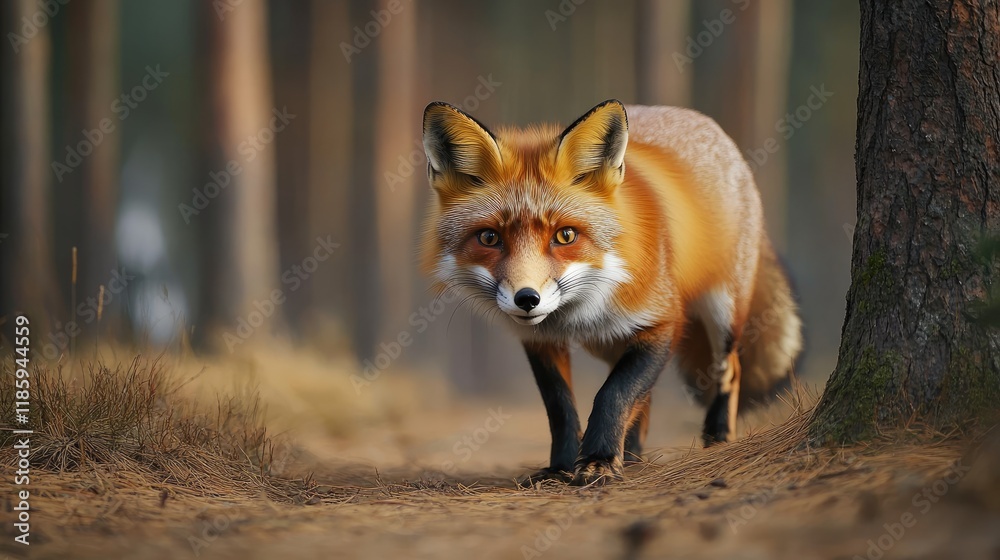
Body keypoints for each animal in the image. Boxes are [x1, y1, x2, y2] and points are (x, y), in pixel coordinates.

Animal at [420, 99, 802, 486]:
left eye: (565, 236)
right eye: (489, 238)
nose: (527, 299)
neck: (578, 309)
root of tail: (693, 117)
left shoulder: (662, 321)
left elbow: (615, 393)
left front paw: (598, 459)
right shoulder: (541, 339)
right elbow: (561, 406)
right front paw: (562, 466)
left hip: (722, 311)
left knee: (730, 368)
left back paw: (717, 436)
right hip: (608, 341)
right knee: (646, 398)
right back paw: (632, 455)